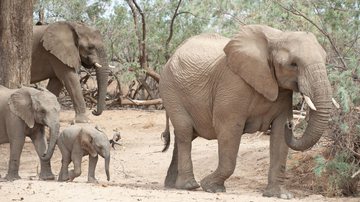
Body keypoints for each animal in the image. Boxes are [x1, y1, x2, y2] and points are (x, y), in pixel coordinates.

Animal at [159, 24, 334, 199]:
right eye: (293, 64)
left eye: (326, 60)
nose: (290, 125)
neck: (276, 37)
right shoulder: (232, 84)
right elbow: (229, 129)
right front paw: (211, 187)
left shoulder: (283, 93)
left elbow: (279, 134)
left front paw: (280, 195)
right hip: (171, 90)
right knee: (185, 131)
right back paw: (189, 186)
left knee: (185, 135)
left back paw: (172, 185)